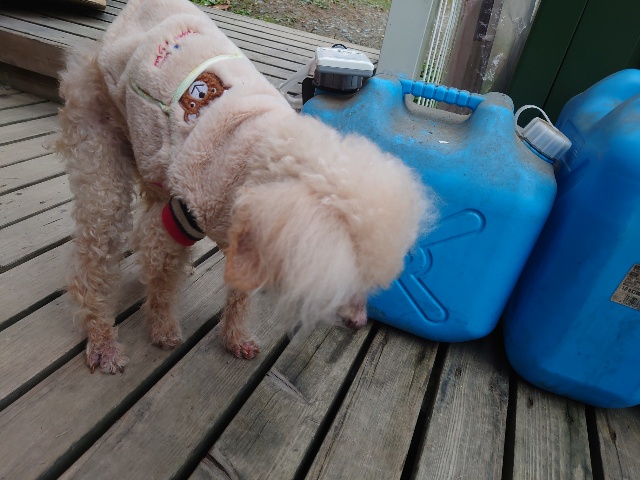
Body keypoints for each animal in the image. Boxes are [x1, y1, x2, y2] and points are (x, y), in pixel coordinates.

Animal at [55, 0, 437, 373]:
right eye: (340, 276)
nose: (359, 323)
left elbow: (238, 293)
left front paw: (235, 338)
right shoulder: (181, 216)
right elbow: (162, 281)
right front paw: (163, 329)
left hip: (151, 154)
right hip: (99, 139)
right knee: (95, 254)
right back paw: (102, 340)